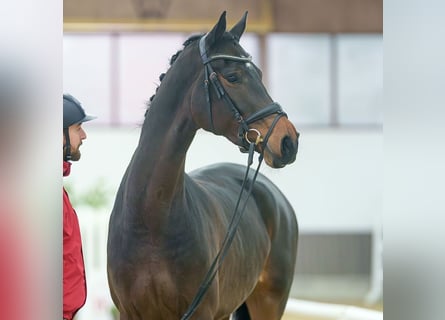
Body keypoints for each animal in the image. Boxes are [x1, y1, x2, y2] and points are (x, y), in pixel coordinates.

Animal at [107, 11, 300, 318]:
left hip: (269, 302)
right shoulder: (129, 312)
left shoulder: (201, 311)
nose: (288, 140)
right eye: (233, 77)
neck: (150, 219)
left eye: (259, 74)